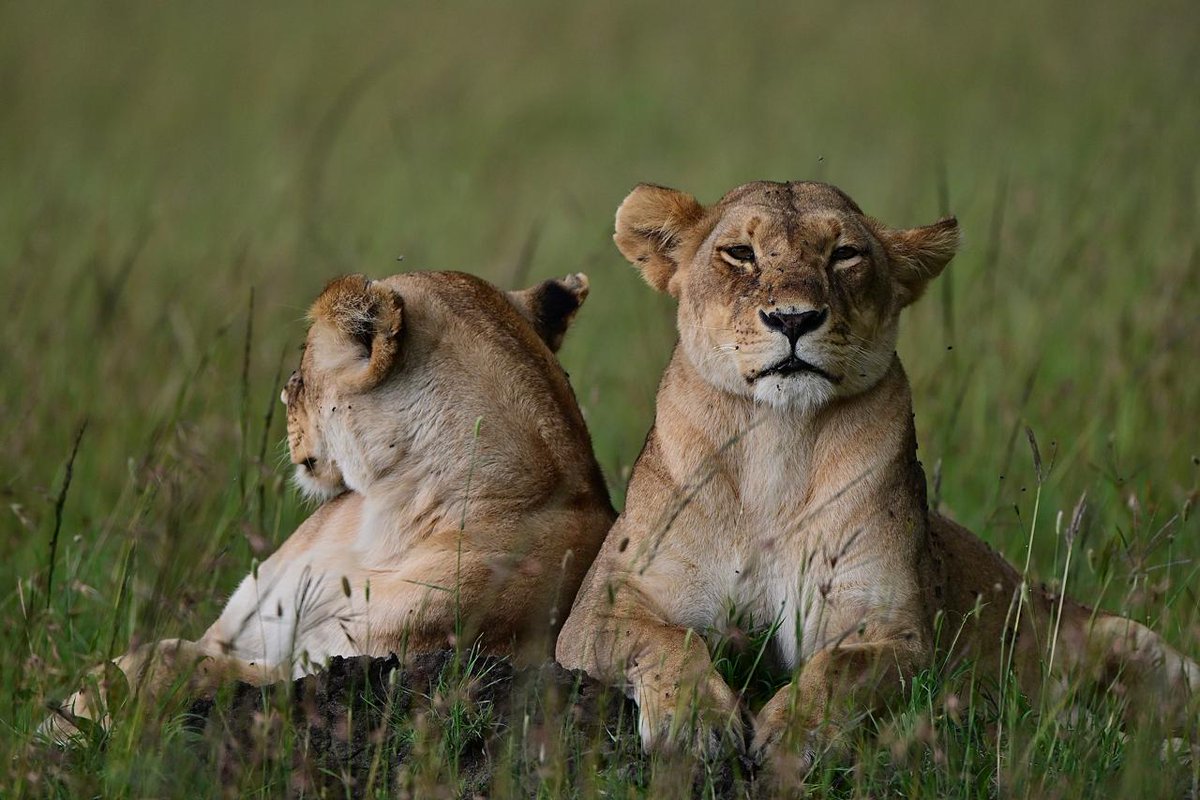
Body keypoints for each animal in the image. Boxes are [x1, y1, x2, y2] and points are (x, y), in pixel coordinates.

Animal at [43, 270, 616, 743]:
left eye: (302, 366)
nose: (282, 394)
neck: (388, 522)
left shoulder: (360, 664)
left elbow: (182, 667)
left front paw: (84, 712)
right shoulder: (234, 630)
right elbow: (158, 654)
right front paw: (68, 714)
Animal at [556, 180, 1199, 775]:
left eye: (844, 254)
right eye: (740, 252)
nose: (793, 318)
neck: (776, 441)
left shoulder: (887, 624)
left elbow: (840, 667)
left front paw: (793, 735)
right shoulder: (605, 602)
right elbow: (667, 639)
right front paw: (695, 724)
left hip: (1138, 645)